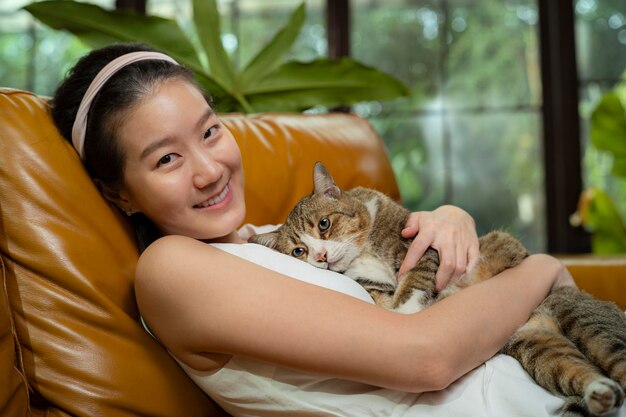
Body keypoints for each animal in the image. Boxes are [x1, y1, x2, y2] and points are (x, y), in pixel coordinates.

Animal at [249, 162, 624, 416]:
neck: (365, 251)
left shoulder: (424, 245)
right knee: (579, 371)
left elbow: (414, 279)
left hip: (584, 320)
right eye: (299, 252)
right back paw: (601, 394)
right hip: (538, 348)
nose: (321, 257)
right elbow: (382, 294)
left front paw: (407, 308)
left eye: (324, 224)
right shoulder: (371, 283)